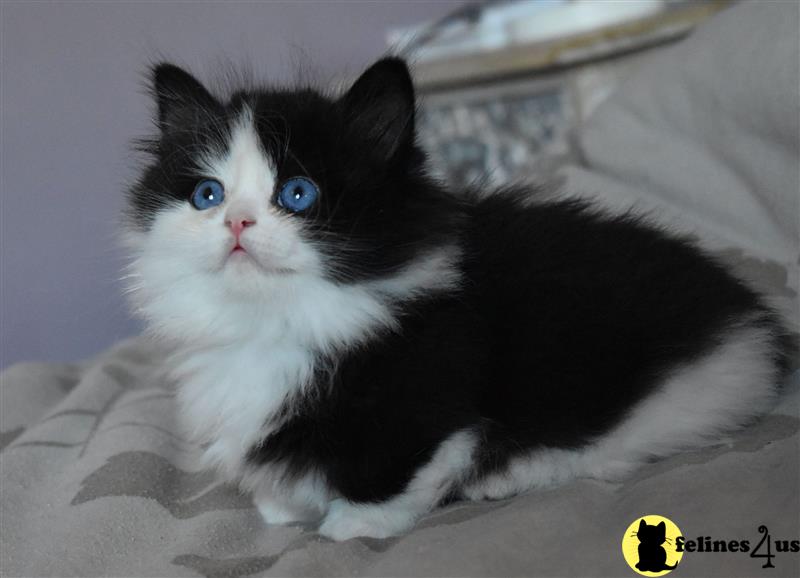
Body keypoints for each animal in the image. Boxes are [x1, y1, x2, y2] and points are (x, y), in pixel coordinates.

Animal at [123, 56, 788, 536]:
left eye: (297, 194)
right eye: (207, 195)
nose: (236, 222)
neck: (276, 322)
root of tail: (761, 322)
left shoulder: (433, 394)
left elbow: (411, 463)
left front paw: (352, 525)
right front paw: (283, 510)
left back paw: (512, 474)